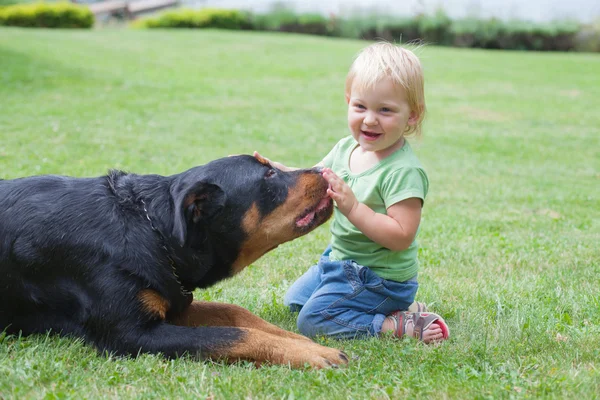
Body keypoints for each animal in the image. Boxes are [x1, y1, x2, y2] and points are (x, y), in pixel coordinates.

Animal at [0, 154, 350, 368]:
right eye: (269, 173)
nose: (323, 170)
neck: (150, 229)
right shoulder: (132, 336)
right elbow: (232, 335)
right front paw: (309, 352)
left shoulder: (174, 299)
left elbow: (234, 312)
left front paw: (298, 340)